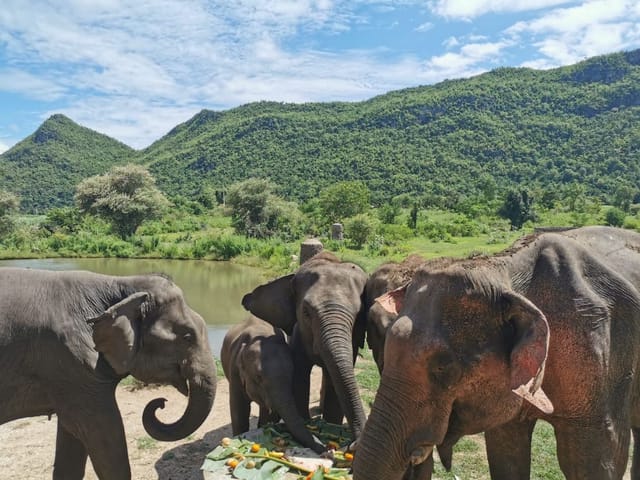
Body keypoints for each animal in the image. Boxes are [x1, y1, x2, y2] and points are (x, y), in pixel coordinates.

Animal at [0, 268, 218, 478]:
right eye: (187, 336)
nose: (161, 402)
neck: (118, 283)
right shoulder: (70, 363)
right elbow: (103, 432)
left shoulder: (69, 375)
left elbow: (72, 437)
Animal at [222, 316, 328, 454]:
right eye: (259, 377)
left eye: (292, 373)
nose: (327, 450)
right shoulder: (234, 371)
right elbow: (239, 409)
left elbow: (269, 414)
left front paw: (265, 427)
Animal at [242, 251, 368, 442]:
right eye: (306, 312)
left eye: (358, 313)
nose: (355, 442)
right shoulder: (297, 334)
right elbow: (300, 375)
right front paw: (307, 422)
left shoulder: (353, 339)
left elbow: (336, 379)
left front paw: (331, 425)